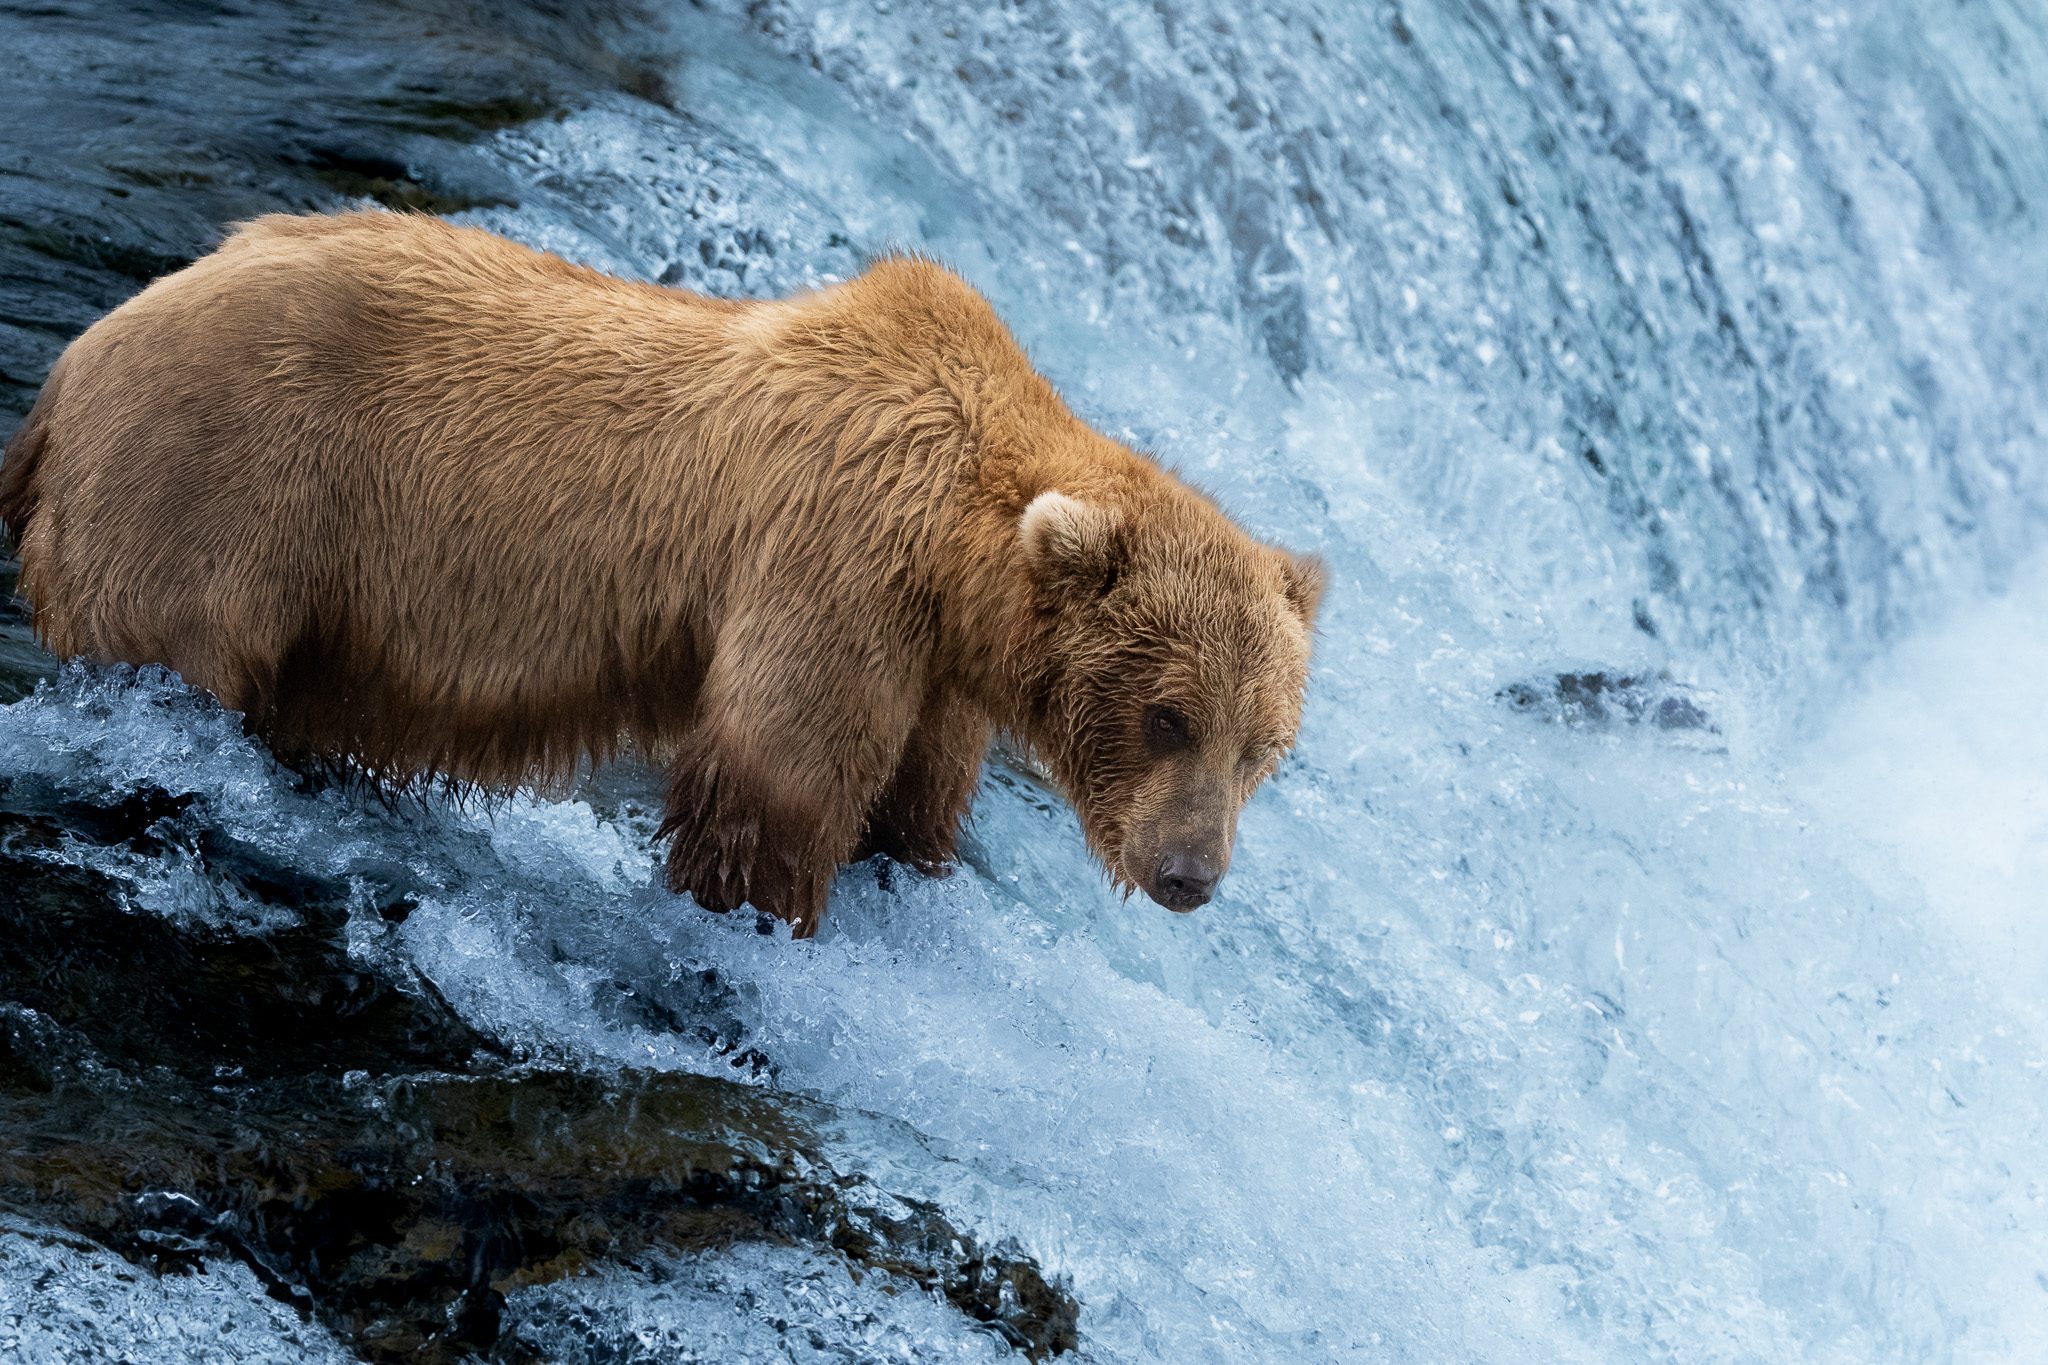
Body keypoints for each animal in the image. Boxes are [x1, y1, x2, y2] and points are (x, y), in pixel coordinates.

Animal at [0, 211, 1322, 936]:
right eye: (1167, 715)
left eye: (1260, 746)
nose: (1189, 875)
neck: (956, 557)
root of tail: (73, 365)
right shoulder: (832, 566)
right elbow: (775, 779)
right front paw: (756, 910)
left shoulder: (935, 669)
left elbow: (913, 803)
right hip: (218, 500)